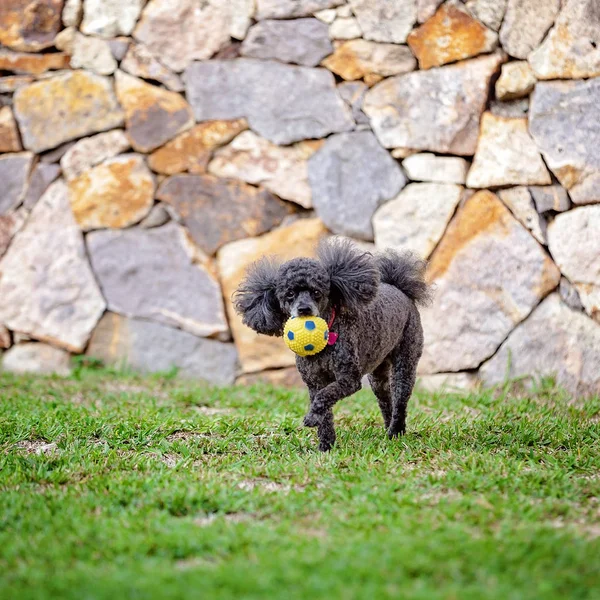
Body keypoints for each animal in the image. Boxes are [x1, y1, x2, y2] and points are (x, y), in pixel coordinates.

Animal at [234, 237, 432, 452]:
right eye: (290, 294)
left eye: (316, 292)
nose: (304, 309)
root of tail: (399, 288)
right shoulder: (314, 381)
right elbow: (325, 413)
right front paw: (326, 445)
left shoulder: (348, 379)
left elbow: (325, 396)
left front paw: (312, 418)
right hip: (378, 373)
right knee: (386, 400)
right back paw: (390, 432)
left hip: (406, 359)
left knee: (400, 398)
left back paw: (396, 431)